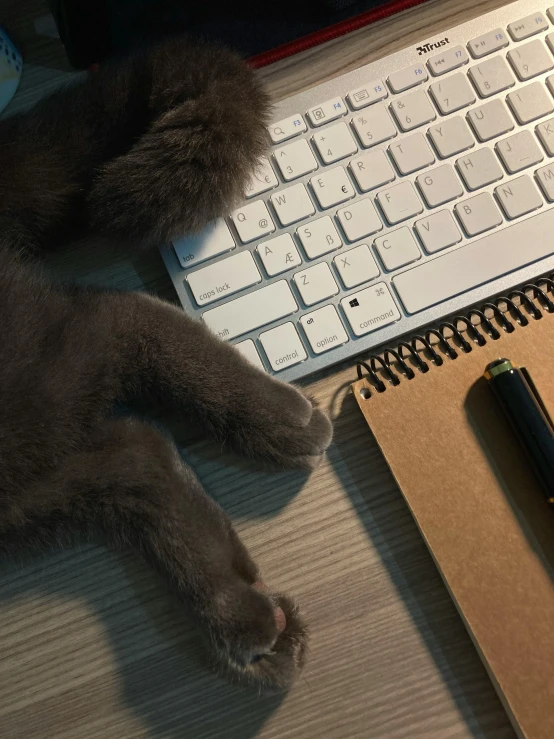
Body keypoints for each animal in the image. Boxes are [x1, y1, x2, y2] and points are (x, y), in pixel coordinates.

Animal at [0, 36, 332, 692]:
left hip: (26, 390)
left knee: (117, 319)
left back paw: (282, 420)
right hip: (21, 483)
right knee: (137, 453)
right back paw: (250, 623)